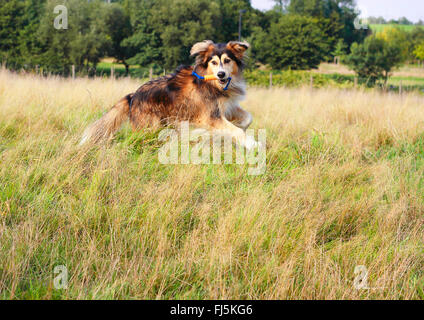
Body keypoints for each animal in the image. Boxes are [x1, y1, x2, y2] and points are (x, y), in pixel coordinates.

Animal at [80, 40, 258, 149]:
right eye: (213, 62)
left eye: (227, 60)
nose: (221, 74)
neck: (213, 83)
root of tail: (133, 96)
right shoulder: (209, 116)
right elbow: (236, 130)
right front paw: (251, 144)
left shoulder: (227, 107)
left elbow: (248, 118)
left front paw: (239, 126)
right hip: (150, 126)